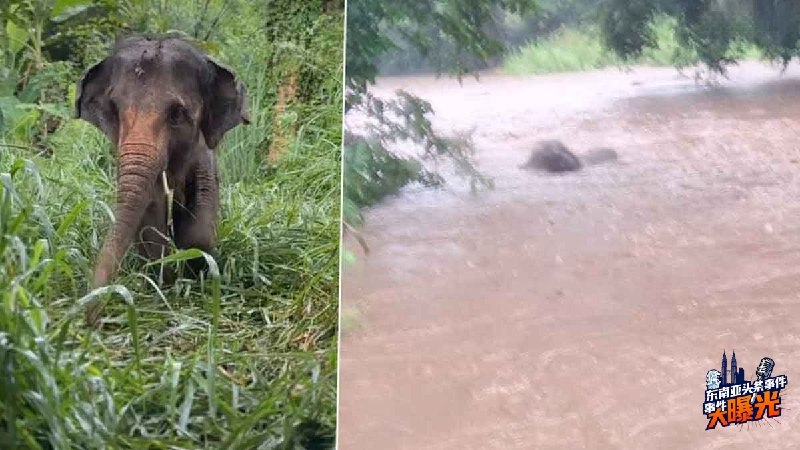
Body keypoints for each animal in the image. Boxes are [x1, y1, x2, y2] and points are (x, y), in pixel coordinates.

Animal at [75, 35, 249, 324]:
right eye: (114, 110)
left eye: (177, 113)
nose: (91, 319)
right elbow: (150, 215)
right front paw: (164, 279)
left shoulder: (204, 158)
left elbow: (201, 223)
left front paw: (196, 270)